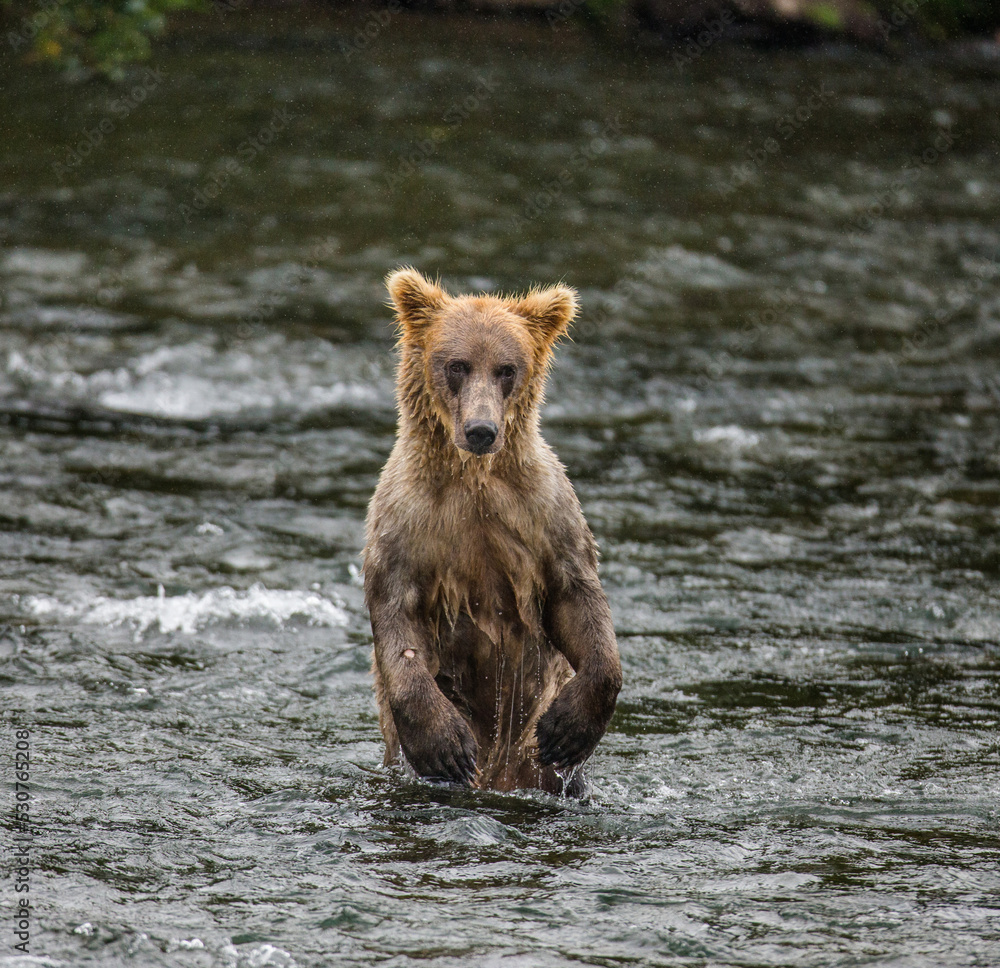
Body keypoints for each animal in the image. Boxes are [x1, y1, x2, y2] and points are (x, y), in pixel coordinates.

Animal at [363, 268, 622, 795]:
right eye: (457, 365)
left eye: (507, 368)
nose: (481, 430)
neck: (475, 481)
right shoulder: (406, 522)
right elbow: (397, 615)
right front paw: (443, 746)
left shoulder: (543, 513)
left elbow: (578, 597)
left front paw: (569, 729)